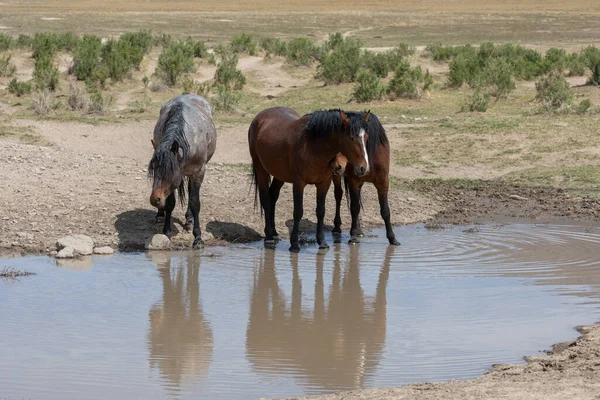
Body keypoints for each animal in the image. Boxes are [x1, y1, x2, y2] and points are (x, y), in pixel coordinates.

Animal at [149, 95, 217, 248]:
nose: (155, 199)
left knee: (191, 194)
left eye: (169, 171)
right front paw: (167, 230)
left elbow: (195, 203)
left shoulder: (198, 173)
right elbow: (170, 203)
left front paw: (198, 238)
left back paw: (189, 221)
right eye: (154, 170)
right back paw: (160, 215)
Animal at [248, 106, 370, 250]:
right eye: (351, 138)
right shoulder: (299, 183)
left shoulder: (324, 184)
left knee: (273, 196)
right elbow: (298, 212)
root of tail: (259, 117)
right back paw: (268, 237)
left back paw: (275, 233)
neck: (312, 146)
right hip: (261, 169)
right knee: (266, 200)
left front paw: (322, 242)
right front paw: (294, 244)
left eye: (366, 137)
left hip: (280, 174)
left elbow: (320, 211)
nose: (363, 167)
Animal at [330, 111, 400, 245]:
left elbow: (385, 210)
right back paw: (337, 227)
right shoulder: (353, 181)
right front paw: (353, 236)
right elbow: (354, 208)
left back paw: (359, 230)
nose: (337, 166)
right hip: (337, 178)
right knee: (338, 195)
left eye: (365, 137)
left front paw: (392, 238)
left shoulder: (383, 181)